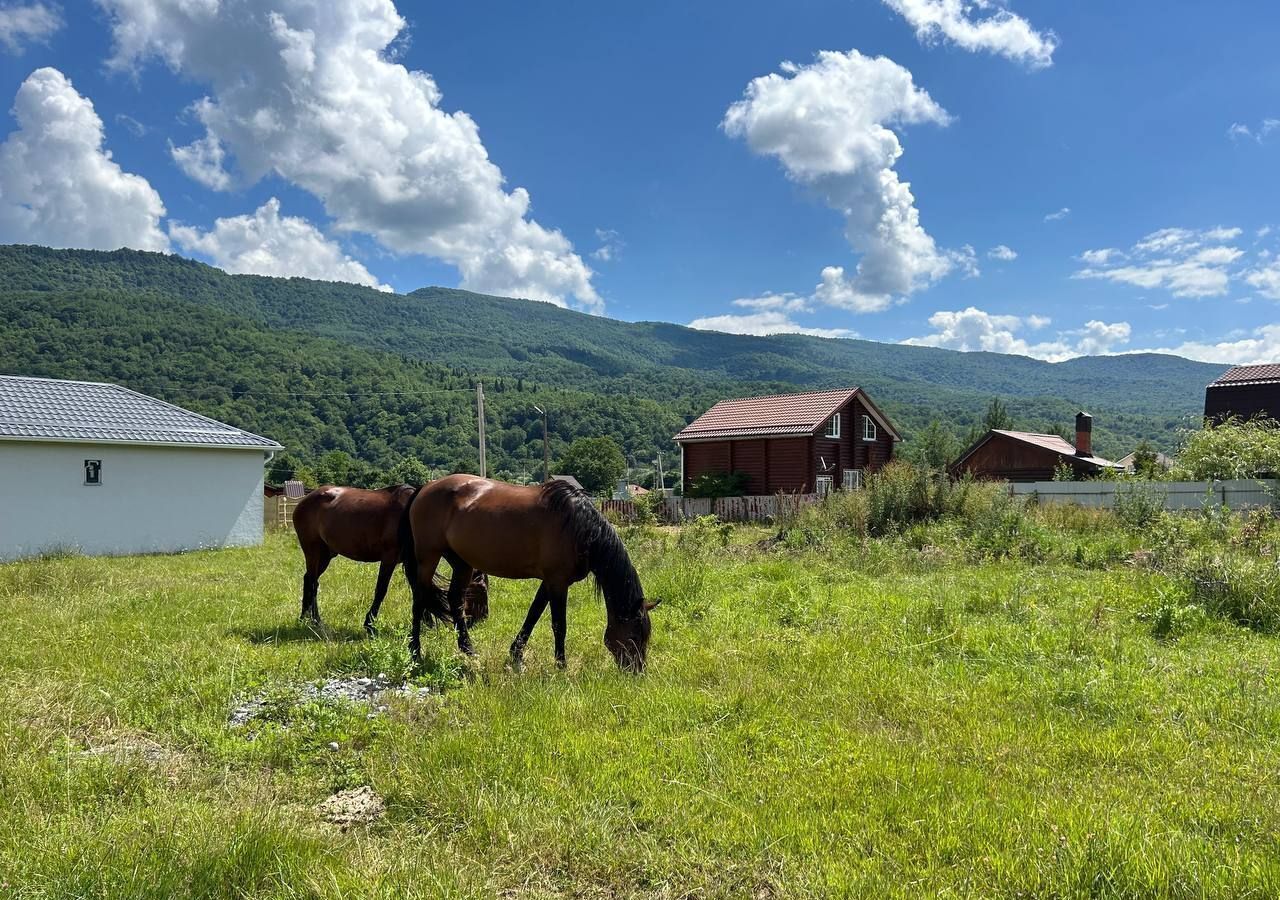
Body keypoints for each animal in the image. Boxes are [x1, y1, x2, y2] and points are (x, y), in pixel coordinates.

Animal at [294, 486, 488, 634]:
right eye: (483, 589)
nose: (483, 619)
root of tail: (305, 500)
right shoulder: (389, 558)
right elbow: (381, 590)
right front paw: (370, 624)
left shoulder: (411, 561)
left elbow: (418, 589)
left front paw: (428, 623)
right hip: (312, 550)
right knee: (312, 582)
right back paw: (314, 619)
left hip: (326, 554)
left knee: (310, 580)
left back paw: (307, 618)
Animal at [399, 476, 660, 670]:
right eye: (634, 635)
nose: (637, 671)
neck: (578, 528)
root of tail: (424, 488)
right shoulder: (557, 582)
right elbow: (559, 624)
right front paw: (561, 665)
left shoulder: (550, 581)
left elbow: (533, 614)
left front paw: (516, 654)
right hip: (428, 557)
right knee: (419, 599)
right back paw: (415, 652)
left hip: (462, 562)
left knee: (455, 599)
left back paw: (468, 650)